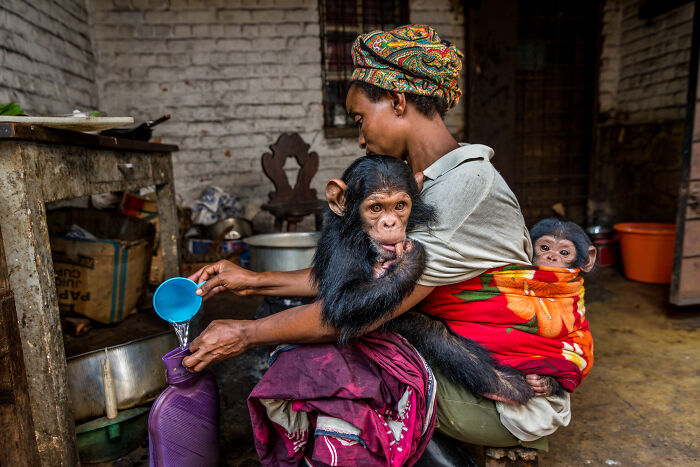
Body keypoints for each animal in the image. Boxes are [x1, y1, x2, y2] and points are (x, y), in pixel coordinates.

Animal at [314, 155, 536, 404]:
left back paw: (504, 385)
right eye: (376, 208)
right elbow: (342, 300)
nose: (390, 223)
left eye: (399, 206)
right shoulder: (341, 244)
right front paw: (412, 259)